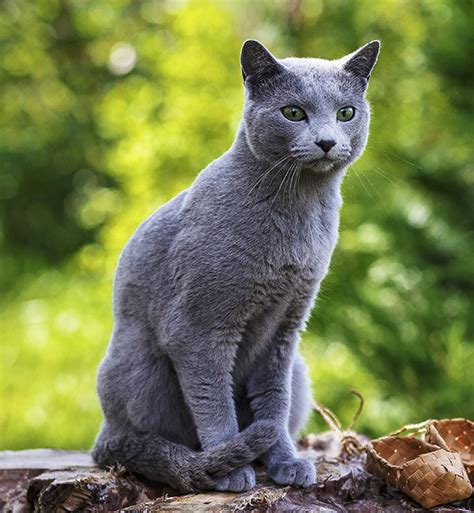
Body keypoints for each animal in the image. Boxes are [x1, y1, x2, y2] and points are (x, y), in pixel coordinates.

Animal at [92, 39, 380, 492]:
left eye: (346, 113)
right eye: (293, 112)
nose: (327, 141)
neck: (299, 212)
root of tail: (103, 435)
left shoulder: (285, 329)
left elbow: (274, 403)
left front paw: (284, 461)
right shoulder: (197, 328)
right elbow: (213, 401)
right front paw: (230, 469)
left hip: (300, 370)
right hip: (140, 363)